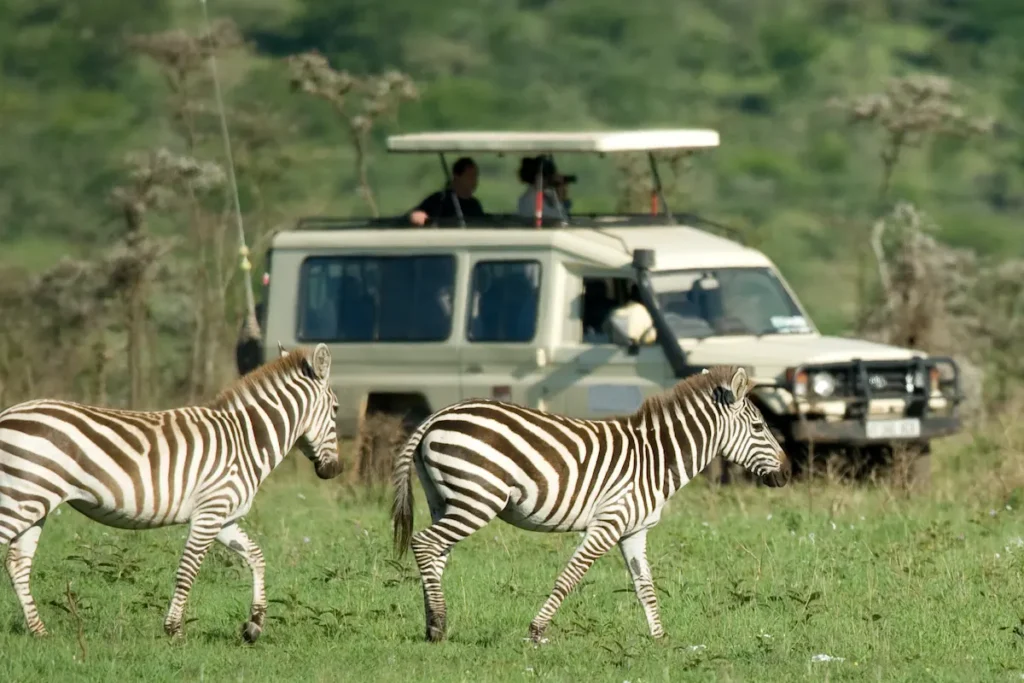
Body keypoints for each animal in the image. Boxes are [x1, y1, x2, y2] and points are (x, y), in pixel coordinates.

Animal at [0, 342, 341, 642]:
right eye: (336, 409)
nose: (334, 470)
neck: (245, 440)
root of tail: (8, 413)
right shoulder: (209, 513)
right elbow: (187, 571)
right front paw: (174, 630)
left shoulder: (223, 517)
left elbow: (256, 557)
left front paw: (254, 626)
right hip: (21, 498)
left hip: (34, 502)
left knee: (18, 563)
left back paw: (40, 632)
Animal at [391, 365, 789, 643]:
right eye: (758, 427)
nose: (786, 474)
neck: (657, 459)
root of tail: (438, 415)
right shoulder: (608, 522)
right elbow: (570, 576)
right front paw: (536, 631)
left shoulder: (634, 530)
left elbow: (645, 586)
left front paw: (660, 639)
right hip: (478, 498)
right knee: (424, 543)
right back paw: (438, 624)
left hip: (446, 499)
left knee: (436, 553)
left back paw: (434, 626)